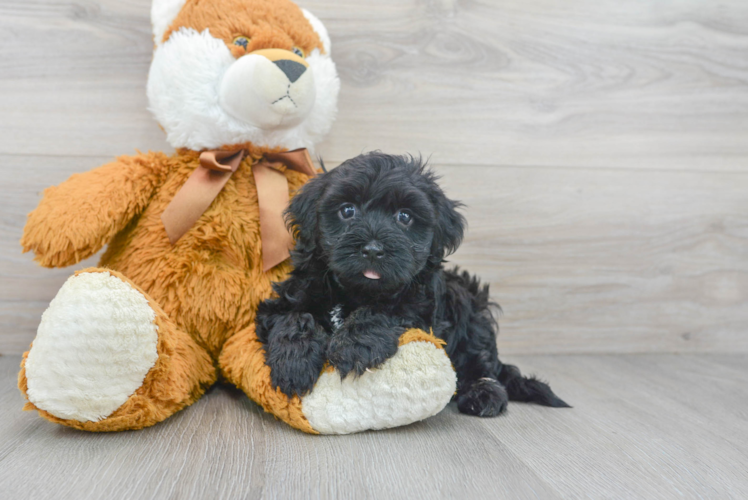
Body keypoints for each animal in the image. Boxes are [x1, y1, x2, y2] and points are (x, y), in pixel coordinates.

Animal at [258, 153, 568, 418]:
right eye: (347, 211)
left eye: (404, 216)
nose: (373, 249)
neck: (355, 291)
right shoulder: (282, 301)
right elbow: (293, 316)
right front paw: (294, 362)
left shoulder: (422, 309)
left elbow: (386, 311)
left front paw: (354, 344)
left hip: (469, 305)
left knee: (478, 360)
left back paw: (484, 393)